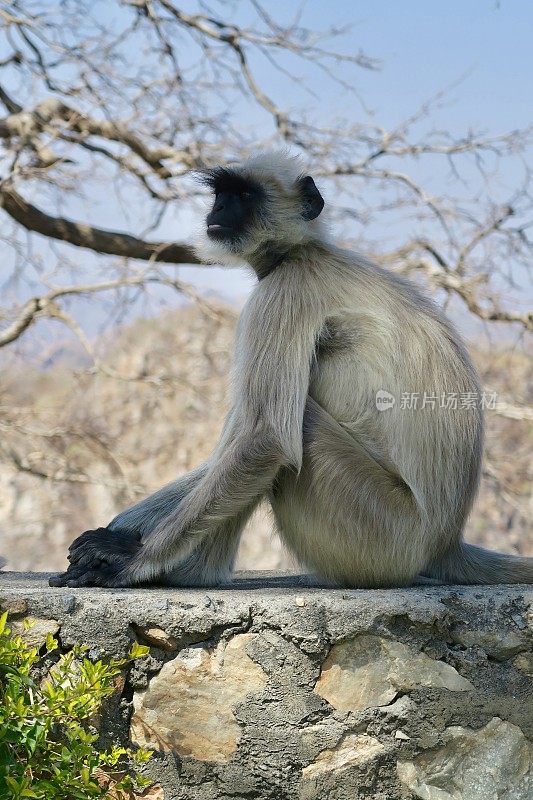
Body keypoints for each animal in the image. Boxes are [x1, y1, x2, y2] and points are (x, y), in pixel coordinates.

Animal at [50, 150, 532, 588]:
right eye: (222, 195)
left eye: (244, 195)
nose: (217, 211)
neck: (301, 251)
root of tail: (445, 541)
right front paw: (118, 534)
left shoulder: (283, 292)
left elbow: (266, 439)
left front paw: (133, 560)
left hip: (383, 537)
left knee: (294, 425)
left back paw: (191, 572)